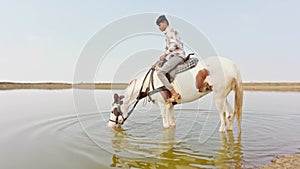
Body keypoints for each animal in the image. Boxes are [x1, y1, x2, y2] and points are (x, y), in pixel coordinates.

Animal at [109, 56, 243, 133]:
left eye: (113, 111)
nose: (110, 125)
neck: (148, 83)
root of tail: (233, 66)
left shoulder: (162, 105)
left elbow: (165, 125)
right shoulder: (170, 106)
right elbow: (172, 124)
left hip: (218, 97)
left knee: (223, 115)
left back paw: (222, 130)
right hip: (223, 96)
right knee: (230, 113)